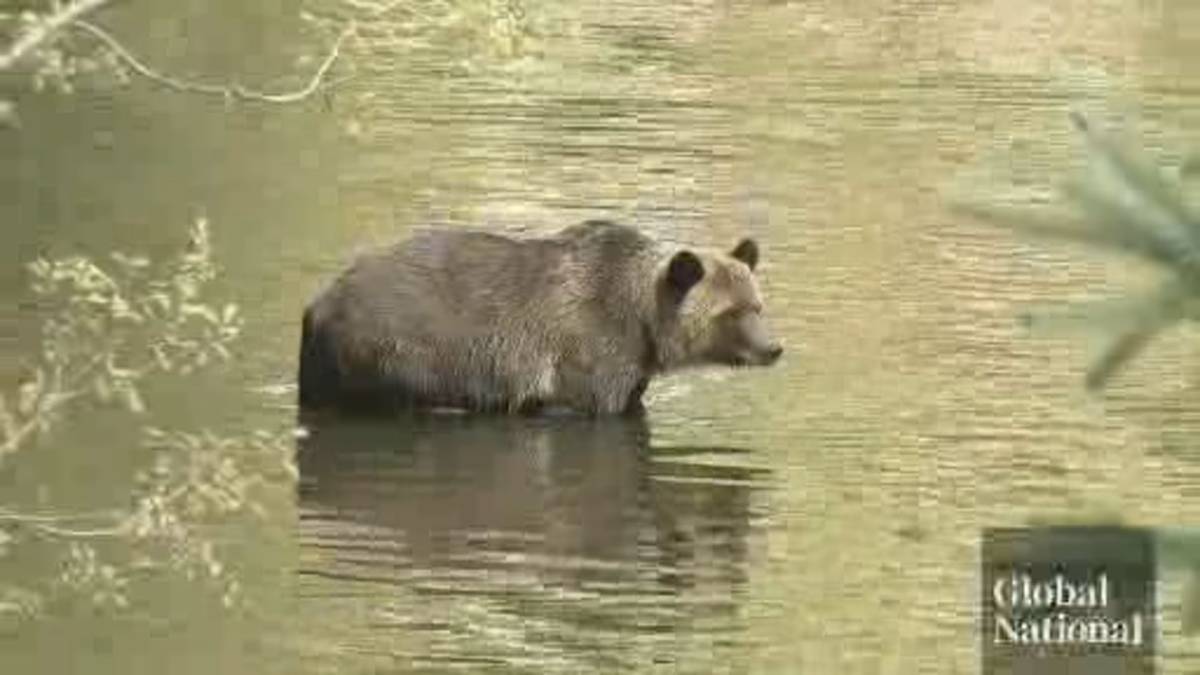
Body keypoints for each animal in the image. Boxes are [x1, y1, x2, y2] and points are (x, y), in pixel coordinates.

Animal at [298, 220, 782, 416]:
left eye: (757, 305)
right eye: (730, 312)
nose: (773, 347)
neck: (642, 323)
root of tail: (317, 304)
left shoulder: (629, 367)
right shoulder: (587, 355)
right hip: (400, 349)